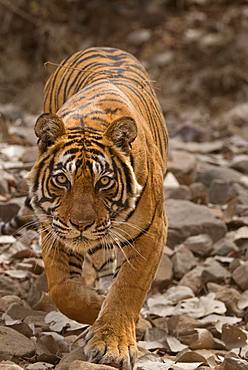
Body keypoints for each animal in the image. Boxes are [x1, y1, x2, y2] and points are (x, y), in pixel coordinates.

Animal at [3, 47, 169, 368]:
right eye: (61, 180)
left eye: (103, 182)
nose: (81, 225)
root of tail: (104, 46)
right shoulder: (53, 229)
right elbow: (64, 291)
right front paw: (99, 311)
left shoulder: (151, 233)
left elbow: (127, 288)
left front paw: (113, 344)